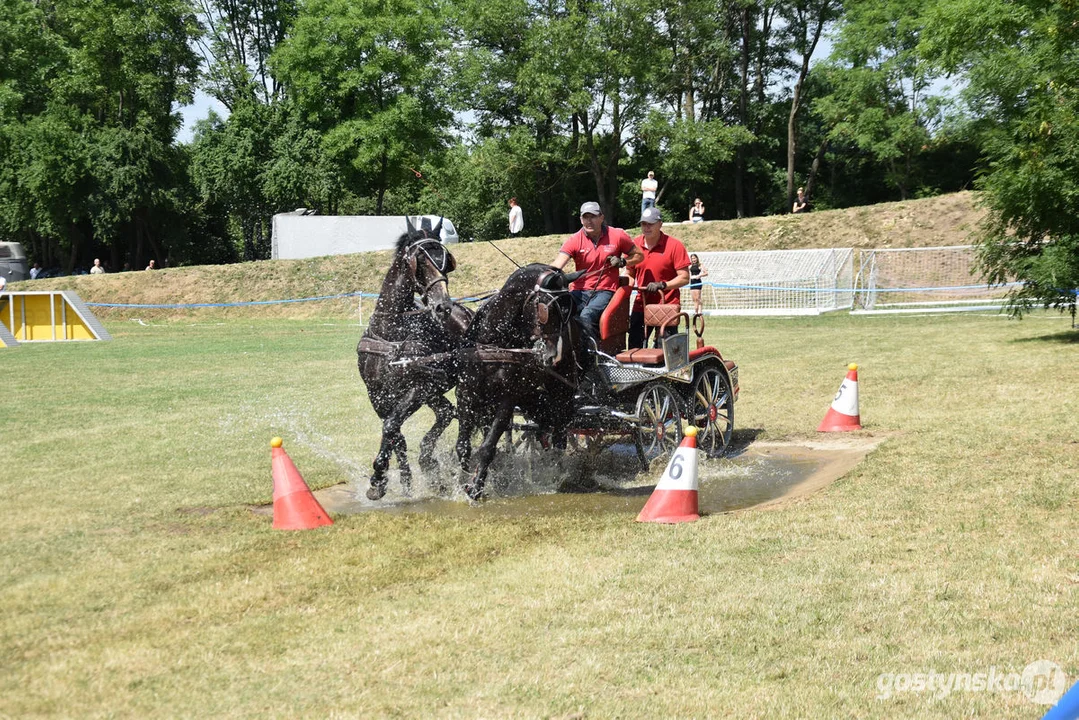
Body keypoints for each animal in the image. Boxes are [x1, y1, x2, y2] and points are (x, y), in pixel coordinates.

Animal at [356, 220, 470, 500]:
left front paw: (378, 476)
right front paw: (402, 480)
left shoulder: (417, 388)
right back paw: (427, 461)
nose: (443, 305)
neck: (392, 333)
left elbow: (390, 426)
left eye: (445, 261)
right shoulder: (377, 394)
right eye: (420, 259)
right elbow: (394, 432)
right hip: (434, 391)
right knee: (446, 412)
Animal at [455, 263, 591, 500]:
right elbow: (463, 446)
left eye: (569, 312)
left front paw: (476, 486)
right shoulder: (466, 394)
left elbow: (488, 445)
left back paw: (555, 472)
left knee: (560, 431)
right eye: (547, 311)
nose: (553, 356)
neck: (494, 343)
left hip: (561, 390)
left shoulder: (508, 398)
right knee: (545, 422)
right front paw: (461, 480)